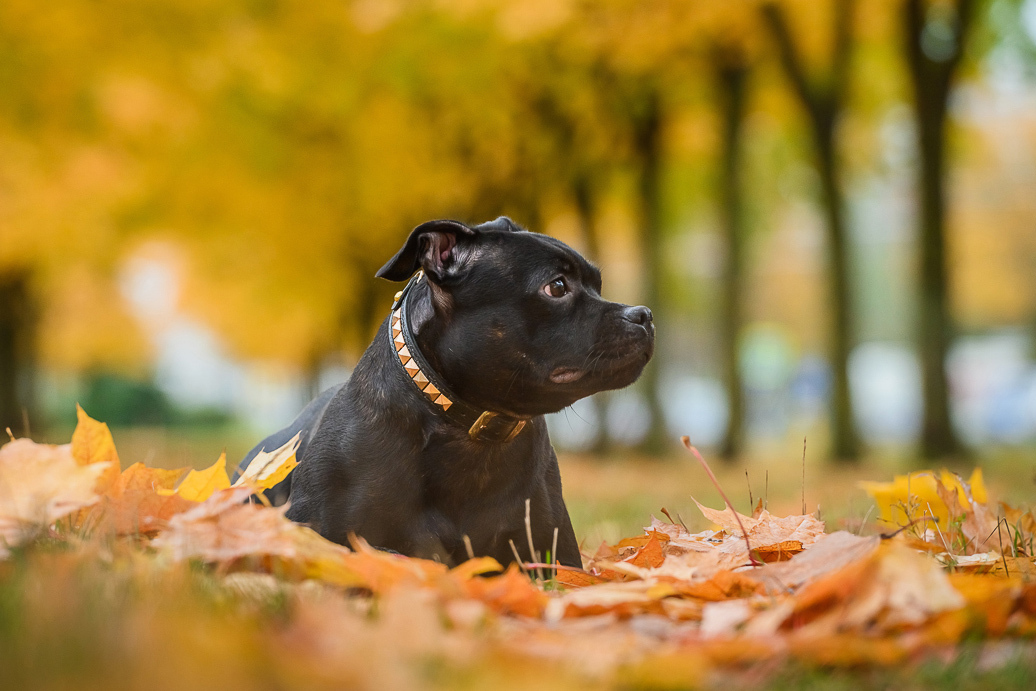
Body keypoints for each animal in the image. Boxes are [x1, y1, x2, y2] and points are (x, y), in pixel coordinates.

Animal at [238, 218, 650, 571]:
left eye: (598, 284)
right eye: (557, 286)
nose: (643, 314)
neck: (468, 430)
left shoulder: (553, 555)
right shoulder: (323, 533)